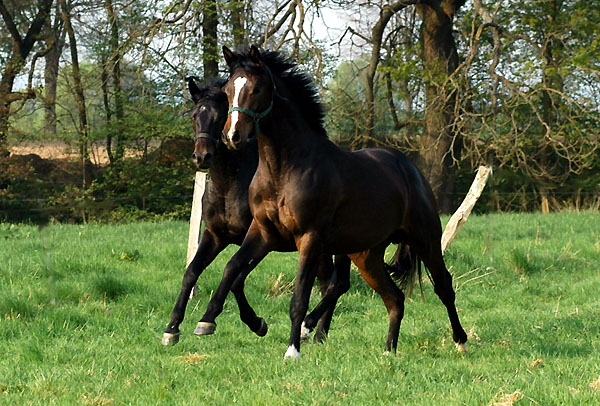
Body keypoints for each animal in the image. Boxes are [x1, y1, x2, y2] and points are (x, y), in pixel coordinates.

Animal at [161, 77, 346, 346]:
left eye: (219, 116)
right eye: (195, 116)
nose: (202, 157)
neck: (229, 185)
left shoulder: (263, 239)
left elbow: (233, 276)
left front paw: (214, 320)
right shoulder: (215, 236)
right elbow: (192, 272)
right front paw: (172, 327)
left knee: (336, 283)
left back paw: (313, 330)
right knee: (327, 282)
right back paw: (319, 334)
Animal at [197, 46, 468, 360]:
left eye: (256, 88)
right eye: (229, 90)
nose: (232, 136)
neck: (283, 169)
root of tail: (409, 168)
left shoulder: (309, 238)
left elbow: (299, 297)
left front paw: (293, 349)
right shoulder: (263, 233)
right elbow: (233, 270)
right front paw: (212, 321)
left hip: (426, 239)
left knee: (444, 286)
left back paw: (460, 341)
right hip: (367, 255)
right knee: (394, 298)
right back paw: (388, 351)